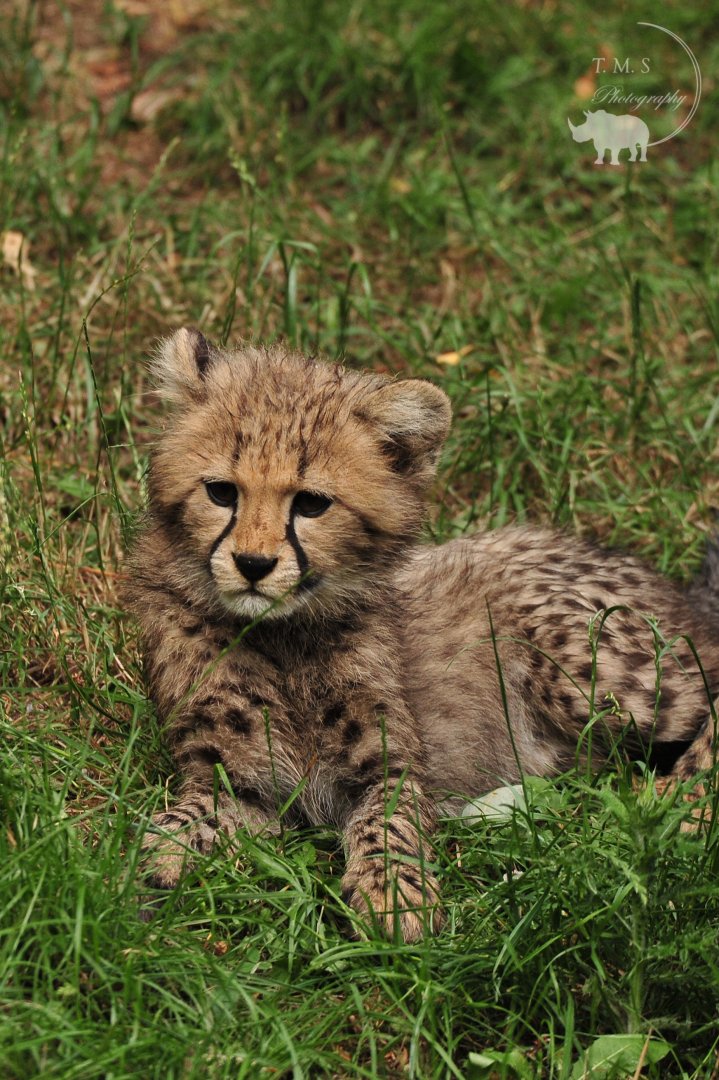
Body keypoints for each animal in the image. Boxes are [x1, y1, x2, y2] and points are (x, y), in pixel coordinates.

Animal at [126, 327, 719, 942]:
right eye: (221, 492)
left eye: (311, 503)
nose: (252, 565)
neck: (284, 638)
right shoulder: (234, 780)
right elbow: (183, 816)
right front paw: (149, 863)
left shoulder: (393, 766)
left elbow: (388, 825)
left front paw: (392, 897)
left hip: (582, 666)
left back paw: (683, 801)